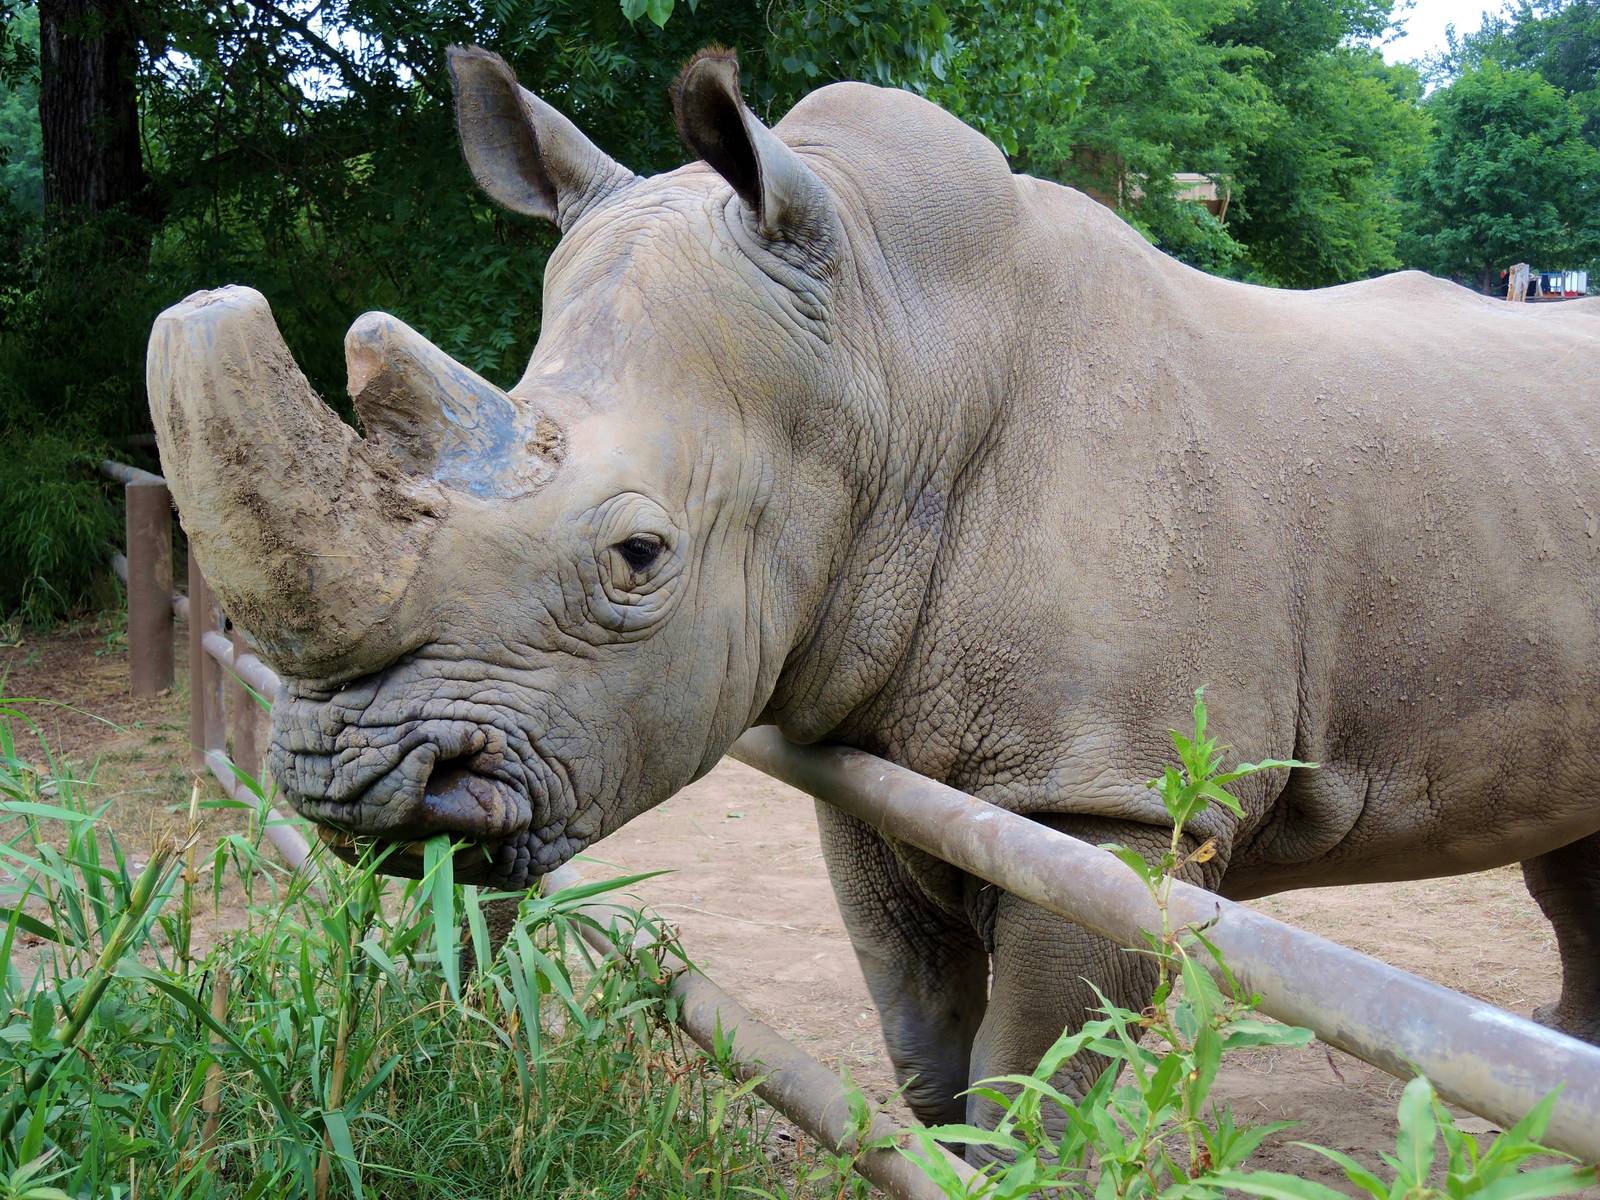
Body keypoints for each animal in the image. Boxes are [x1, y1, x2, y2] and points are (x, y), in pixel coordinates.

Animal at [147, 46, 1600, 1140]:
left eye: (638, 557)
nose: (347, 787)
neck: (894, 355)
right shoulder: (869, 755)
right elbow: (925, 1045)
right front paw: (943, 1149)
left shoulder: (1117, 803)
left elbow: (1039, 1088)